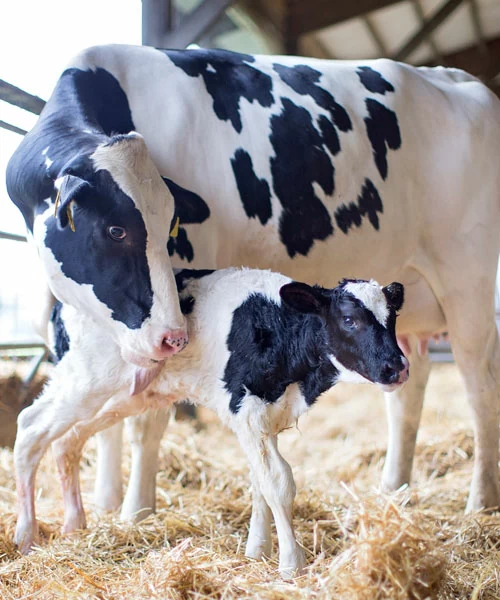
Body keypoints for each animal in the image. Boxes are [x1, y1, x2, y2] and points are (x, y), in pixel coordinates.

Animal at [6, 44, 500, 516]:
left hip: (468, 282)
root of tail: (455, 77)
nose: (170, 337)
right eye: (115, 230)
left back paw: (480, 500)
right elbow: (105, 417)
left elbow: (144, 421)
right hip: (404, 308)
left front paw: (135, 513)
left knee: (479, 388)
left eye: (172, 227)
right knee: (406, 393)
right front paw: (106, 505)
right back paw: (392, 490)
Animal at [13, 270, 408, 580]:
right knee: (30, 428)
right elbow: (278, 483)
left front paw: (257, 551)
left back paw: (73, 524)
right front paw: (291, 564)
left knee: (67, 440)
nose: (398, 367)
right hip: (83, 381)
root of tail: (62, 304)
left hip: (121, 395)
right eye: (350, 319)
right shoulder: (247, 408)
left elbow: (259, 483)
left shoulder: (262, 420)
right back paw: (25, 535)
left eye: (392, 319)